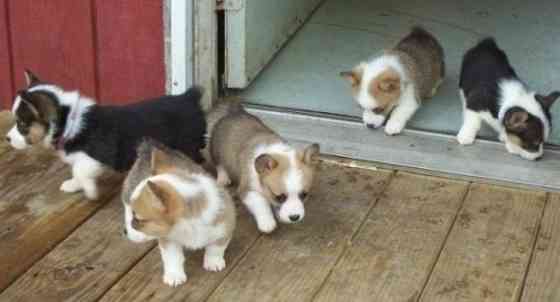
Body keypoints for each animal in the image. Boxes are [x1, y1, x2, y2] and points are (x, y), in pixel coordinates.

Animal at [5, 69, 207, 199]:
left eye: (21, 124)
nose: (7, 138)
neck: (68, 121)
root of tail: (189, 97)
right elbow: (76, 170)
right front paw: (73, 184)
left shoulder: (96, 158)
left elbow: (80, 170)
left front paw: (89, 190)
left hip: (187, 145)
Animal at [122, 139, 236, 286]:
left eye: (139, 219)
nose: (125, 232)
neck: (189, 223)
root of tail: (148, 147)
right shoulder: (168, 240)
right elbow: (173, 258)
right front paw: (174, 275)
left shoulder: (224, 229)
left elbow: (215, 248)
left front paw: (213, 263)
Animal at [208, 104, 320, 234]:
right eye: (279, 197)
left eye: (304, 195)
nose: (295, 217)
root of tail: (232, 113)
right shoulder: (248, 190)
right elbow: (261, 204)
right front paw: (267, 223)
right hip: (215, 150)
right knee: (219, 164)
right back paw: (223, 179)